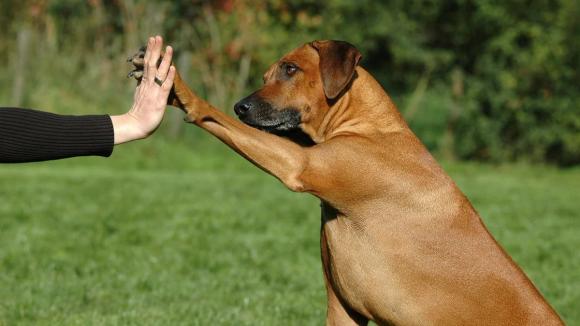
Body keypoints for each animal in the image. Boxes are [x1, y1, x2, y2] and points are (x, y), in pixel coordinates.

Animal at [130, 40, 560, 324]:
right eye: (268, 74)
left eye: (290, 69)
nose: (241, 106)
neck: (369, 127)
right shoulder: (343, 307)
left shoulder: (300, 164)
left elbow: (215, 116)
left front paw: (178, 89)